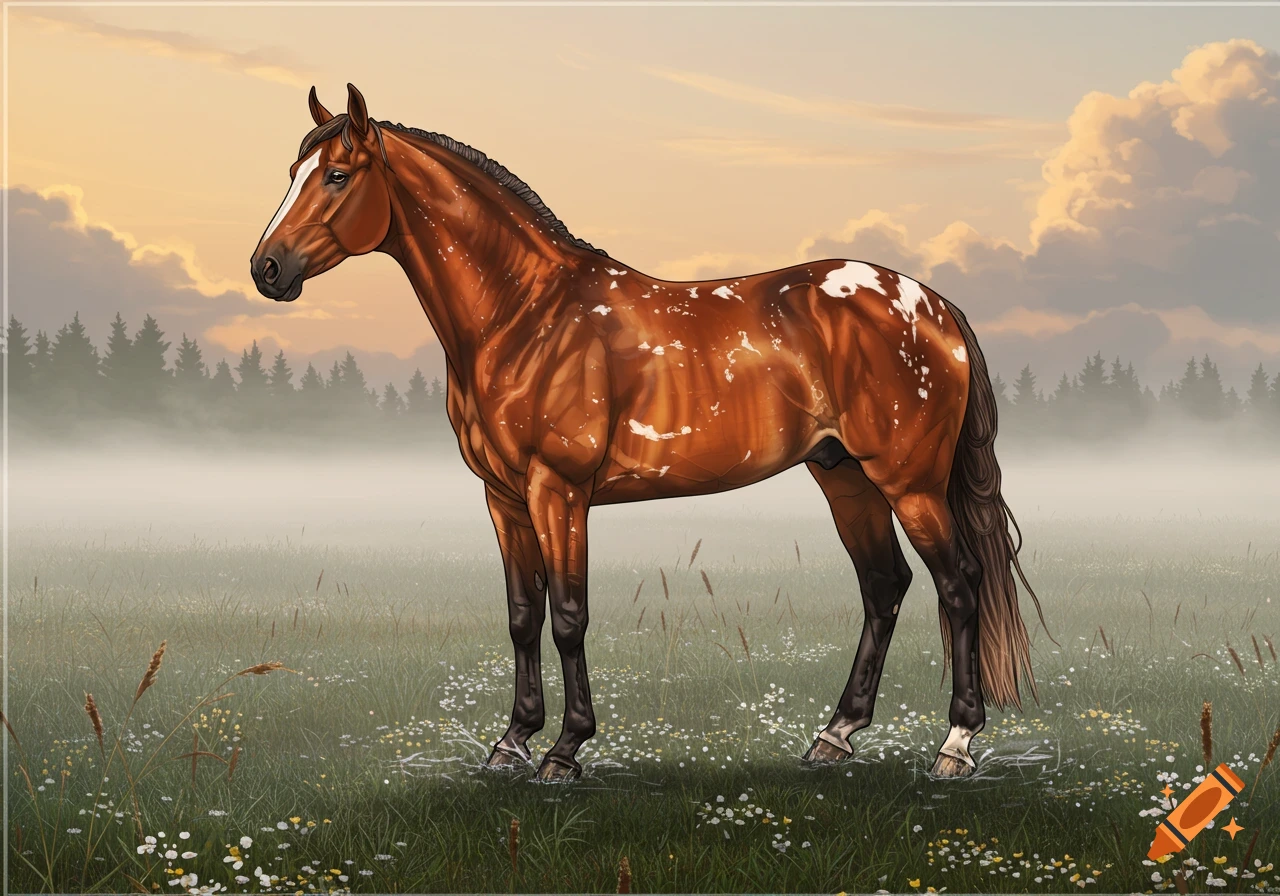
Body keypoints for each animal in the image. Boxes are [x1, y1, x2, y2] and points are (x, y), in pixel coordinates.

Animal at [250, 84, 1048, 782]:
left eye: (338, 176)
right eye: (292, 174)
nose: (267, 269)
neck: (525, 314)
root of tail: (931, 303)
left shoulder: (559, 492)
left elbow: (568, 616)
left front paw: (564, 751)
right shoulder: (503, 499)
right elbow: (521, 616)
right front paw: (511, 742)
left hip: (909, 482)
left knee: (959, 586)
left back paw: (955, 745)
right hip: (843, 475)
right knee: (885, 585)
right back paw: (835, 736)